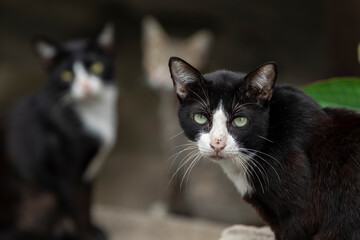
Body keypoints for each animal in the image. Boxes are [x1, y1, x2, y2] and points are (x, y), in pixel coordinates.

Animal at [0, 23, 116, 240]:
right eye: (66, 75)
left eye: (96, 67)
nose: (86, 86)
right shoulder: (68, 172)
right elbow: (78, 207)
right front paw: (88, 234)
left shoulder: (88, 174)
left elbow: (88, 202)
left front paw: (93, 228)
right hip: (44, 195)